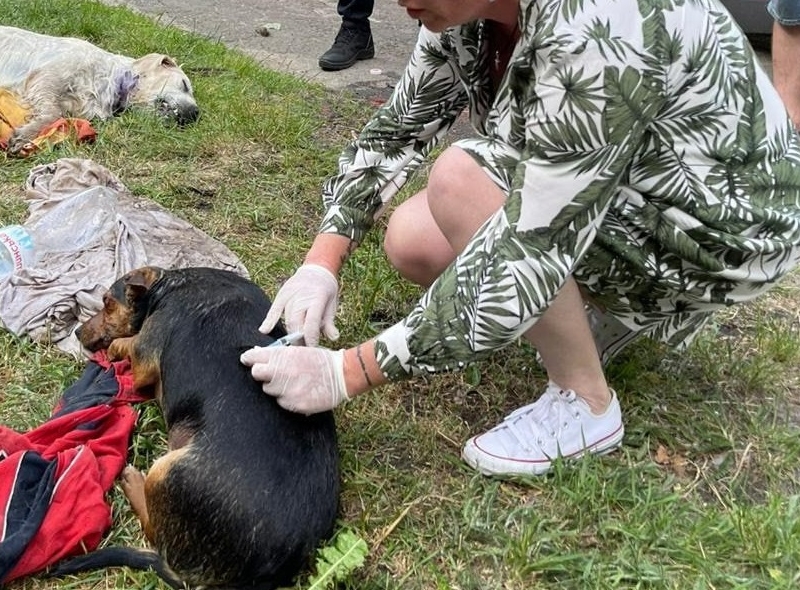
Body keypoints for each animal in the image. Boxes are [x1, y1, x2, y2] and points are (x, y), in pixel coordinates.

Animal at [0, 26, 199, 155]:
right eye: (184, 84)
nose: (196, 114)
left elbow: (59, 114)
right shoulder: (47, 77)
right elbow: (53, 113)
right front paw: (26, 135)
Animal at [50, 268, 338, 590]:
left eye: (108, 303)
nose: (77, 332)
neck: (168, 284)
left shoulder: (143, 357)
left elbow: (126, 344)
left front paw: (114, 350)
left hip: (165, 471)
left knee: (154, 531)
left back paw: (132, 480)